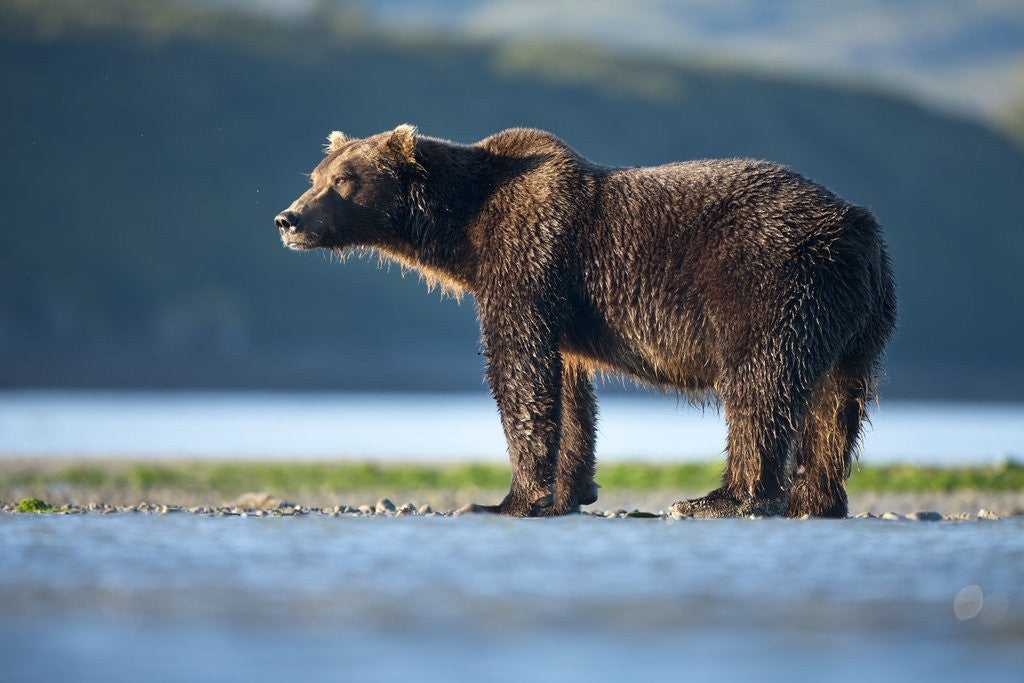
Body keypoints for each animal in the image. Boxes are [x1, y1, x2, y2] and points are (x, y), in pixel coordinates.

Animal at [275, 124, 896, 518]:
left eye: (345, 180)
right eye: (315, 174)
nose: (288, 218)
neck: (465, 231)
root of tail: (857, 226)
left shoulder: (528, 259)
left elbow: (519, 369)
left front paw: (510, 498)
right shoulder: (564, 308)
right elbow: (570, 392)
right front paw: (570, 490)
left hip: (773, 286)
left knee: (760, 388)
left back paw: (719, 499)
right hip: (856, 317)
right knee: (837, 403)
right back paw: (816, 500)